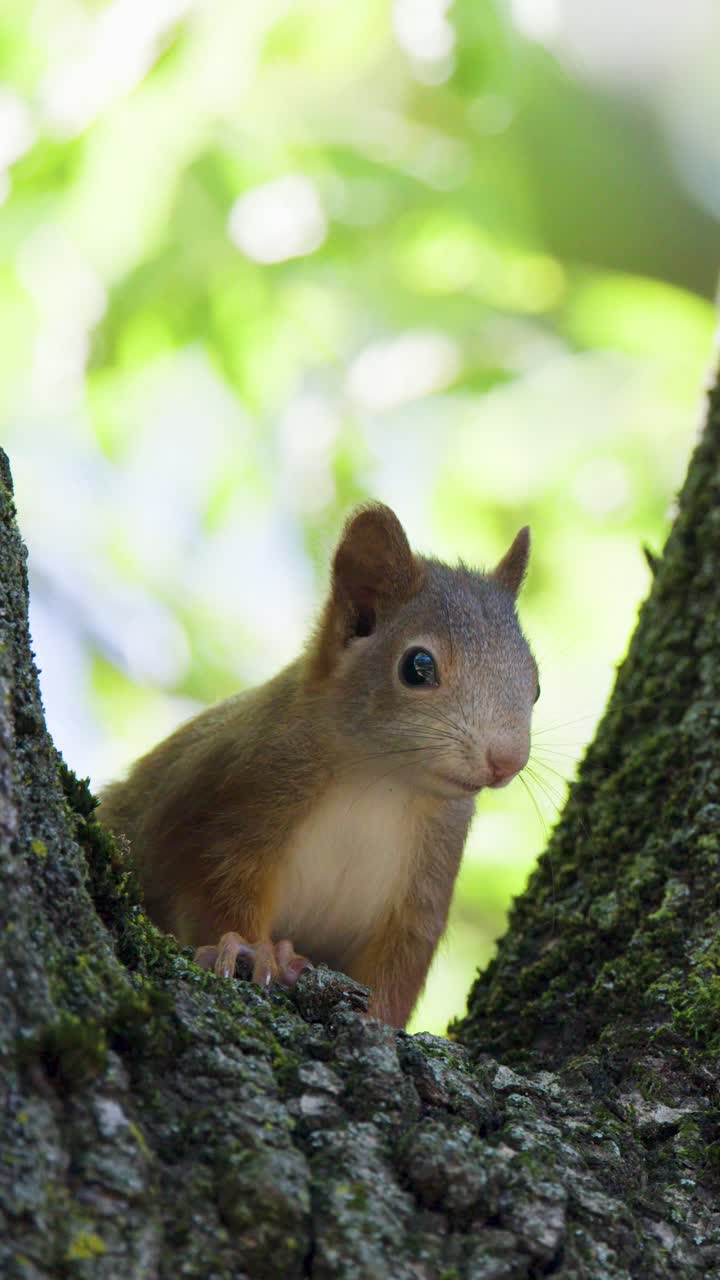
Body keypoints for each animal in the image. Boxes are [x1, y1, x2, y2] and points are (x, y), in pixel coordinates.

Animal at [99, 503, 539, 1028]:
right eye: (418, 667)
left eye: (535, 685)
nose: (506, 760)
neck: (382, 783)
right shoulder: (233, 795)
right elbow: (213, 891)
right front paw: (252, 951)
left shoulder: (424, 885)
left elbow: (399, 970)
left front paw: (377, 1015)